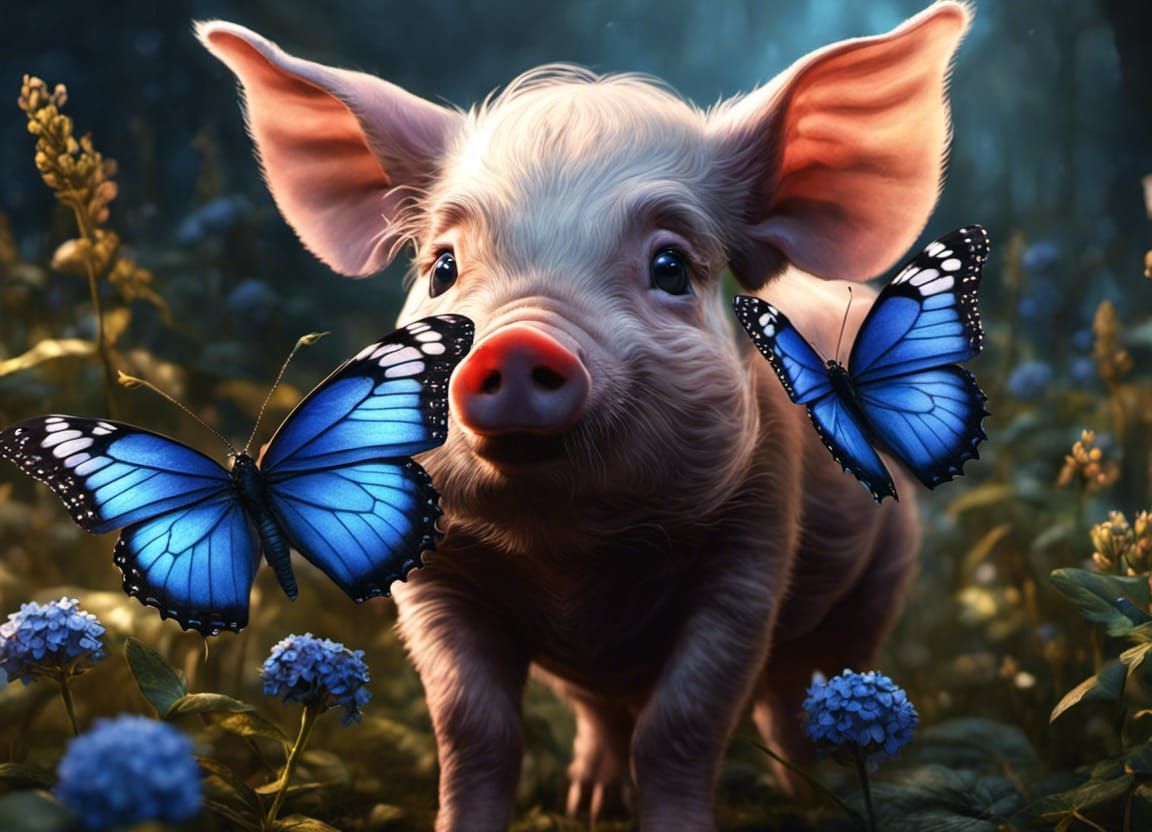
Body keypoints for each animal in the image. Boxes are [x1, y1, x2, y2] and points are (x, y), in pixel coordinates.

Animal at [199, 3, 970, 829]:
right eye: (443, 267)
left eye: (671, 267)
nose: (517, 342)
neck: (572, 554)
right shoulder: (434, 572)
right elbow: (473, 727)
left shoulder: (756, 544)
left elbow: (684, 722)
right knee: (604, 711)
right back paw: (593, 804)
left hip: (876, 583)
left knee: (799, 688)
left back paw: (815, 798)